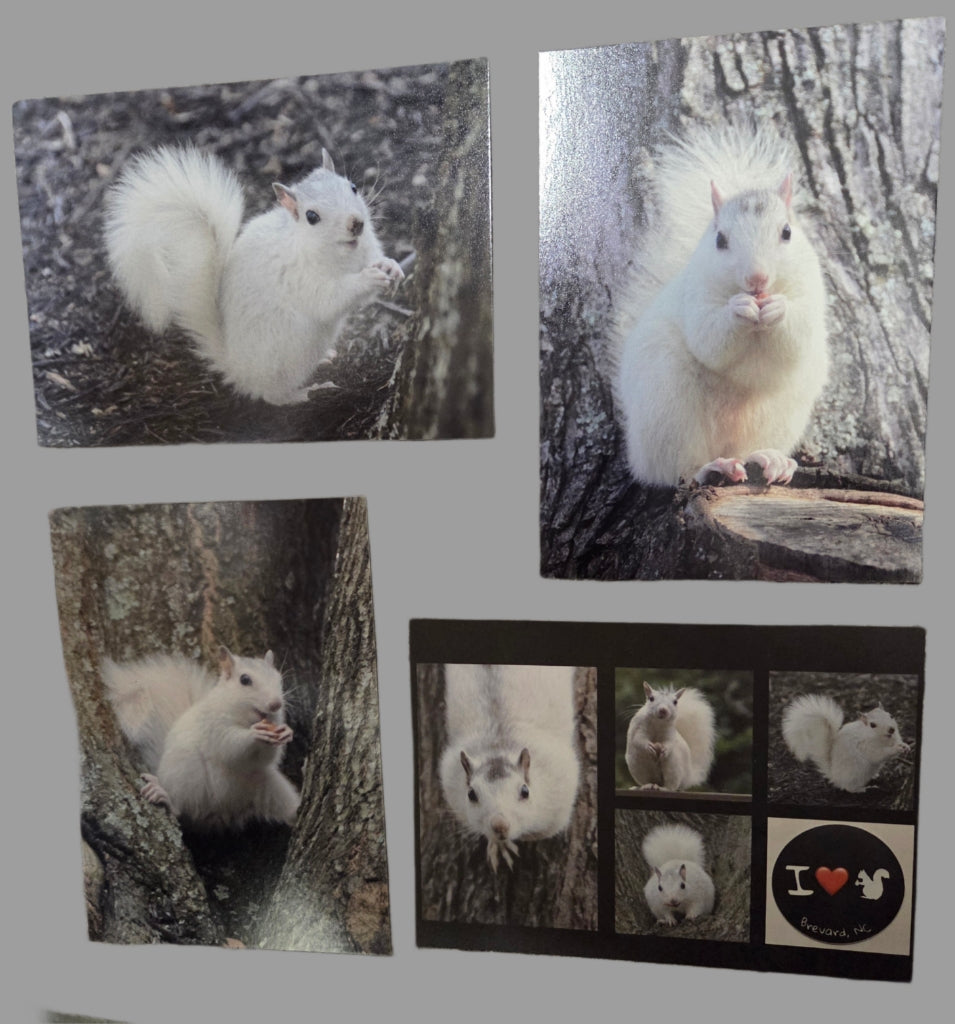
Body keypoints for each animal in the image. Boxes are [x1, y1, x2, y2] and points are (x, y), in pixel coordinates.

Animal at [102, 645, 301, 829]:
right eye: (245, 680)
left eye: (279, 679)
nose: (276, 704)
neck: (245, 716)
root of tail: (223, 809)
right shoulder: (213, 725)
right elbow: (230, 745)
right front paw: (254, 734)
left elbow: (266, 757)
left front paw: (286, 731)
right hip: (187, 772)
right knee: (181, 809)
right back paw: (165, 797)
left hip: (271, 787)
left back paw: (295, 811)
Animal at [103, 145, 404, 406]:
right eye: (311, 217)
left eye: (352, 187)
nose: (356, 224)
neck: (345, 251)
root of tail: (236, 366)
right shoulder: (300, 278)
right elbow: (330, 299)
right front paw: (367, 279)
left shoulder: (367, 247)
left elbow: (376, 261)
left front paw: (391, 266)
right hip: (288, 353)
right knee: (270, 395)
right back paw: (304, 393)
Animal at [438, 664, 580, 871]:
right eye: (471, 794)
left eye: (525, 791)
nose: (500, 826)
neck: (498, 744)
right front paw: (499, 845)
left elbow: (541, 832)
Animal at [614, 125, 829, 486]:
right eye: (720, 240)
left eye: (786, 232)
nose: (757, 279)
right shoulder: (695, 296)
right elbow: (709, 339)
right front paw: (737, 309)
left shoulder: (811, 292)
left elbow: (799, 336)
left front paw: (779, 310)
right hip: (667, 406)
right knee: (675, 469)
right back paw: (713, 467)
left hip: (778, 415)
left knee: (749, 449)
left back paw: (771, 459)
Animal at [781, 693, 910, 793]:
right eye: (873, 725)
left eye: (891, 715)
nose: (891, 729)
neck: (885, 739)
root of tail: (834, 775)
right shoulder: (866, 746)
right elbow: (878, 755)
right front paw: (896, 749)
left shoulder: (895, 737)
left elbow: (898, 741)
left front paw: (905, 746)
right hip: (854, 774)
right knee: (848, 788)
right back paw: (864, 789)